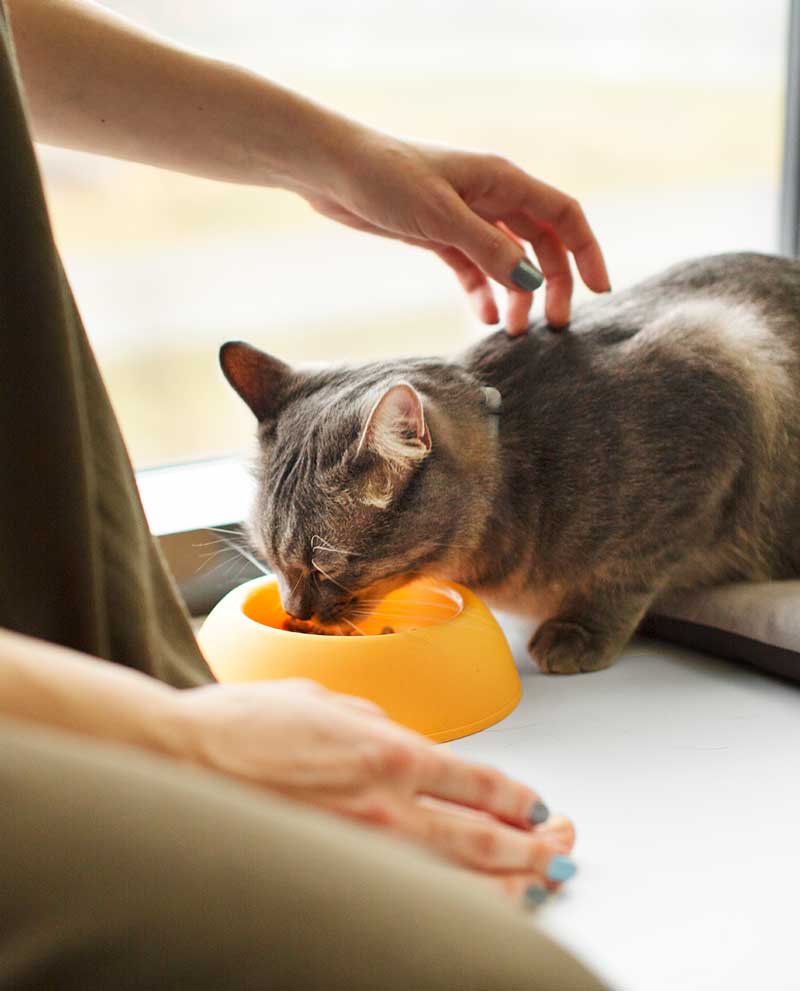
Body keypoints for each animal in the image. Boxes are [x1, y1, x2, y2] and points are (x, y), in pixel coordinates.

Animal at [219, 252, 800, 680]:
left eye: (325, 567)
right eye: (269, 558)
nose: (295, 611)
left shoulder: (717, 382)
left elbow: (629, 571)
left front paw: (580, 631)